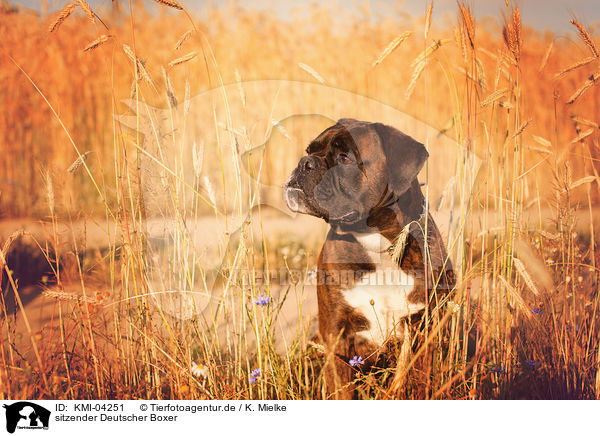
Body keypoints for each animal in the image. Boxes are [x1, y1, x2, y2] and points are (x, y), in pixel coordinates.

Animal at [284, 117, 452, 396]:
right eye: (310, 151)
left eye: (345, 158)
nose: (304, 163)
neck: (378, 243)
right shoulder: (336, 335)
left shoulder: (424, 330)